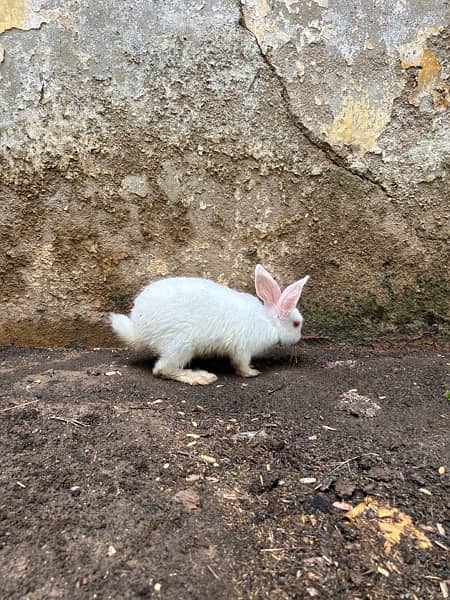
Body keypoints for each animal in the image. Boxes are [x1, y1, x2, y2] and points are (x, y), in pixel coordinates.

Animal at [110, 264, 308, 386]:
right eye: (296, 324)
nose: (299, 338)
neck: (269, 321)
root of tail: (138, 330)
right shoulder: (243, 349)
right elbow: (240, 364)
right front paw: (251, 372)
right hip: (181, 345)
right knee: (162, 369)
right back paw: (201, 377)